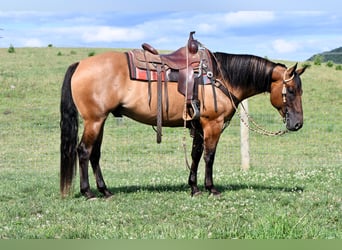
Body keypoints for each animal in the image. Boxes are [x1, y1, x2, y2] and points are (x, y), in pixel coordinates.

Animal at [59, 35, 308, 199]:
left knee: (94, 154)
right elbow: (209, 156)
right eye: (291, 90)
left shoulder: (198, 124)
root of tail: (80, 64)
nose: (297, 124)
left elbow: (195, 154)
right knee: (84, 151)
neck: (221, 77)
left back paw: (105, 190)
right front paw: (211, 188)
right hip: (94, 120)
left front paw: (194, 187)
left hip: (99, 121)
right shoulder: (212, 124)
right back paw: (88, 192)